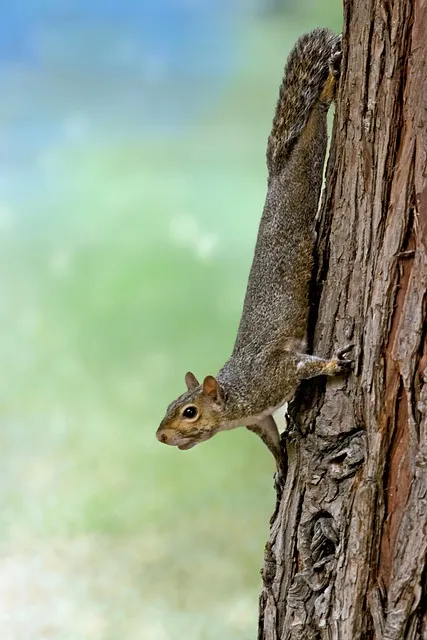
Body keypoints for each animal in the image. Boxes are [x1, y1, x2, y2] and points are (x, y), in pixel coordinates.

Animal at [156, 28, 352, 485]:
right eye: (169, 404)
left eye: (189, 412)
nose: (159, 436)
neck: (235, 398)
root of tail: (274, 177)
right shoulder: (258, 419)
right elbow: (271, 441)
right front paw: (281, 467)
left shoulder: (276, 375)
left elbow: (305, 367)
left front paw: (332, 364)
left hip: (302, 176)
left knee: (310, 131)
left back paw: (328, 89)